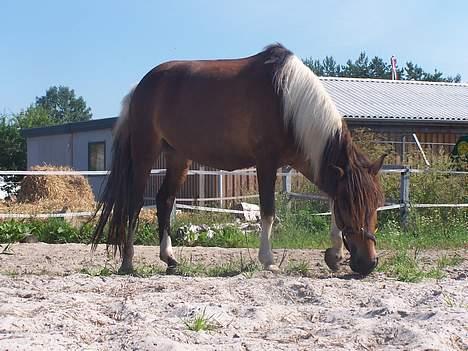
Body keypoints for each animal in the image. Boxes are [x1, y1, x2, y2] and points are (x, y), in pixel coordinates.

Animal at [91, 44, 384, 276]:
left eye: (375, 204)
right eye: (350, 205)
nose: (368, 263)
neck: (287, 102)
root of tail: (139, 87)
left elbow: (329, 198)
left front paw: (334, 255)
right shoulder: (266, 162)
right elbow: (268, 212)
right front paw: (268, 261)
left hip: (178, 156)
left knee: (164, 200)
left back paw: (170, 260)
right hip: (146, 152)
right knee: (135, 203)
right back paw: (128, 261)